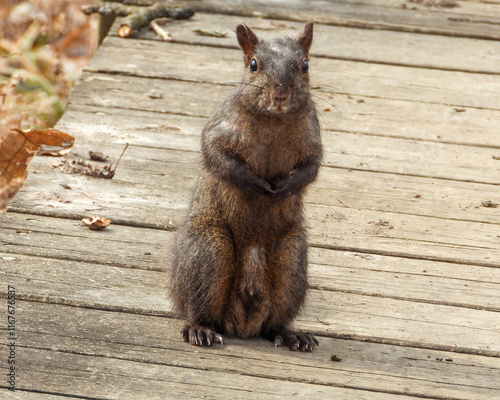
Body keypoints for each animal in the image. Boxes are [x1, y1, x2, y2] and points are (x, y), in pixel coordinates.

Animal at [170, 21, 322, 352]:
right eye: (253, 65)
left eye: (305, 65)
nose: (280, 94)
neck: (274, 121)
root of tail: (241, 322)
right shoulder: (222, 126)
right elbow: (216, 155)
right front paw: (255, 184)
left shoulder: (313, 136)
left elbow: (312, 167)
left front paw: (287, 186)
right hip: (209, 250)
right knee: (199, 309)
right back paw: (200, 329)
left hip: (291, 259)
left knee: (273, 323)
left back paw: (291, 335)